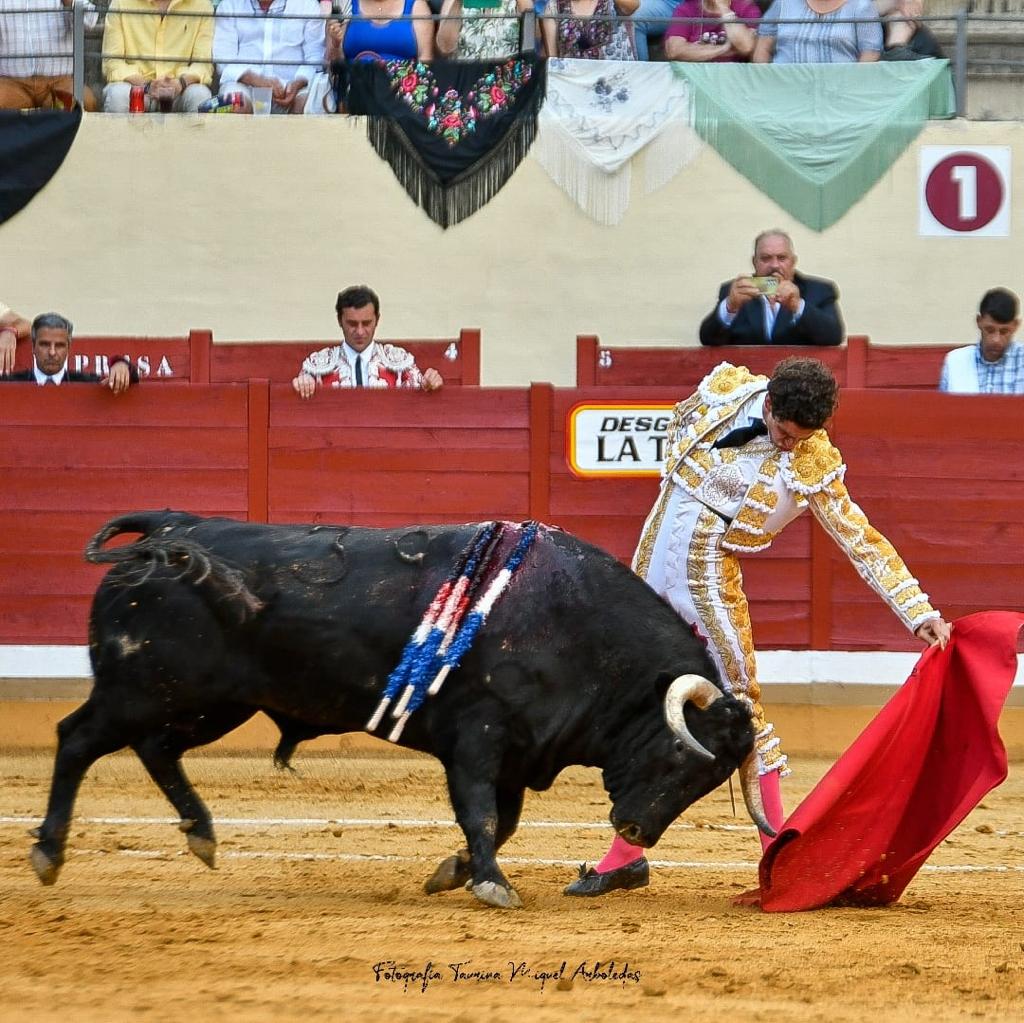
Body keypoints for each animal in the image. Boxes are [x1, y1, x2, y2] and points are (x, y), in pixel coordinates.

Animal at [32, 516, 770, 909]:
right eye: (681, 757)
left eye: (710, 779)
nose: (637, 828)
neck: (577, 628)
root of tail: (163, 531)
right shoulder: (477, 735)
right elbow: (482, 815)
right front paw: (490, 885)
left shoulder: (514, 752)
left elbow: (502, 821)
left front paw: (454, 872)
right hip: (141, 690)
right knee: (77, 738)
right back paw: (47, 853)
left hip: (211, 703)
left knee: (157, 748)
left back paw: (202, 834)